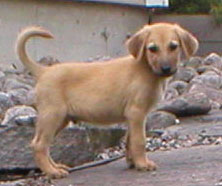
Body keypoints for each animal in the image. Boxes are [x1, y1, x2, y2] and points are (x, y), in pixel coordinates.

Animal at [16, 22, 199, 178]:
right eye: (152, 49)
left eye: (173, 46)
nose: (166, 69)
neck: (145, 68)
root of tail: (44, 71)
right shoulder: (137, 113)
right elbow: (139, 141)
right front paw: (143, 164)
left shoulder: (133, 117)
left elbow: (129, 141)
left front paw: (133, 162)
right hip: (52, 116)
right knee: (40, 145)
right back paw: (52, 172)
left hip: (61, 119)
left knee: (41, 144)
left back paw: (55, 167)